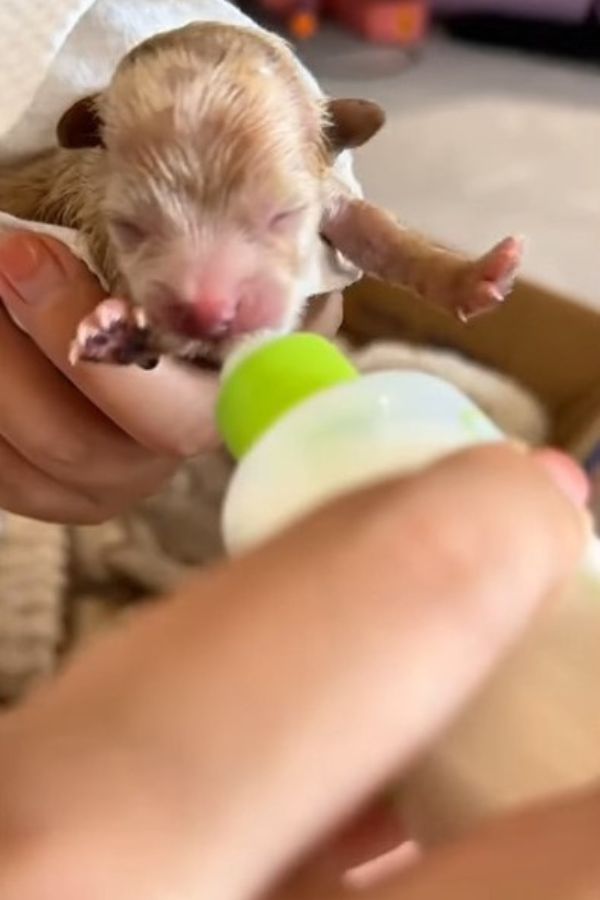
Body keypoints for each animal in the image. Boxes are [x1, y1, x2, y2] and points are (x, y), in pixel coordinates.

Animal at [0, 21, 520, 368]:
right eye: (131, 228)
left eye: (284, 216)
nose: (209, 313)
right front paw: (119, 327)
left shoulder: (327, 196)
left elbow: (379, 234)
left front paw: (470, 275)